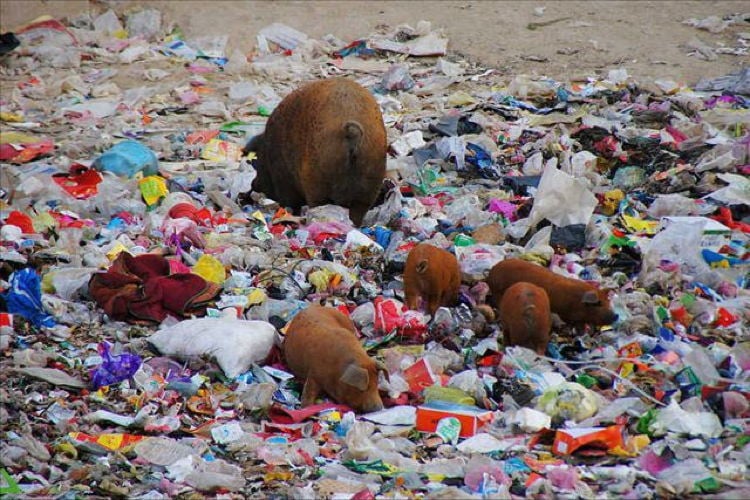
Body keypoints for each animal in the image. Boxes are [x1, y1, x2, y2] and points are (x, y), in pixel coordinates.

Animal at [244, 77, 388, 226]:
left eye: (257, 162)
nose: (252, 186)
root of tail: (352, 132)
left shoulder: (284, 180)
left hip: (318, 183)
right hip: (369, 184)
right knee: (357, 213)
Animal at [490, 258, 620, 328]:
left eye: (608, 301)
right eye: (598, 304)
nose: (615, 316)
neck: (578, 302)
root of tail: (491, 273)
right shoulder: (568, 314)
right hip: (498, 292)